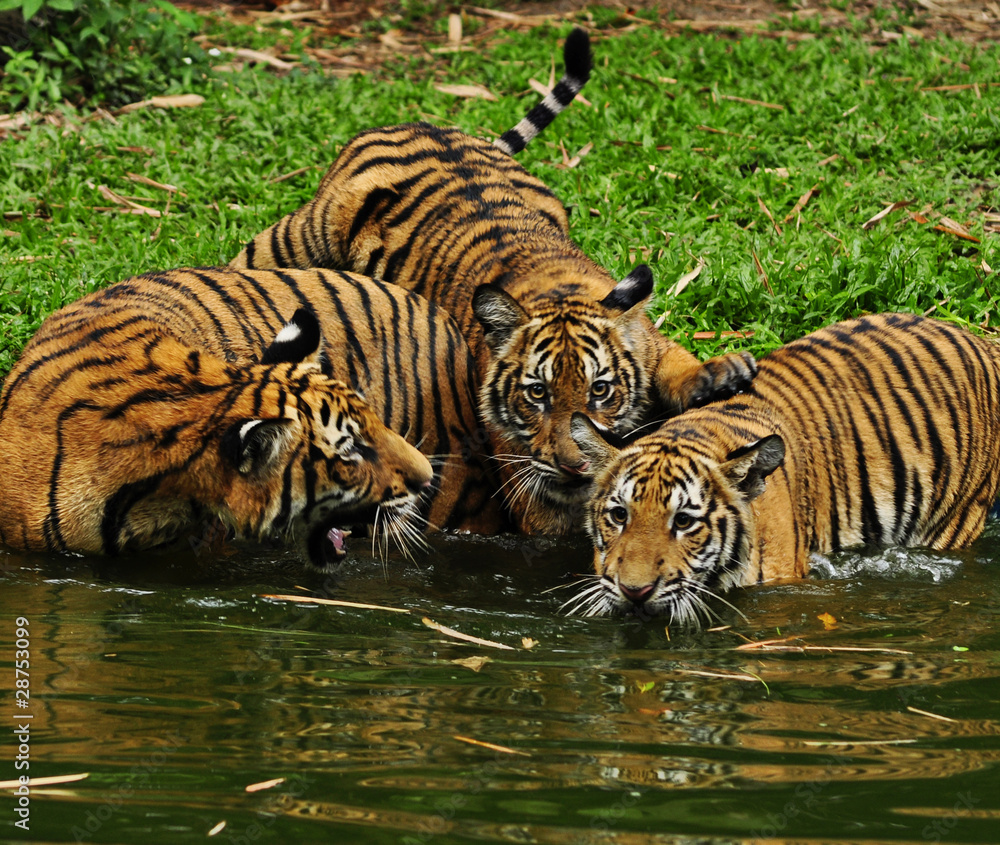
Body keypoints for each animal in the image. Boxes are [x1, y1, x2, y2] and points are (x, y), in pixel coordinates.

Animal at [228, 27, 757, 535]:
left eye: (601, 390)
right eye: (537, 393)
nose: (576, 466)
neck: (561, 288)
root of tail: (418, 124)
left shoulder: (641, 334)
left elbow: (672, 358)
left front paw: (716, 376)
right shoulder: (535, 496)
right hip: (305, 230)